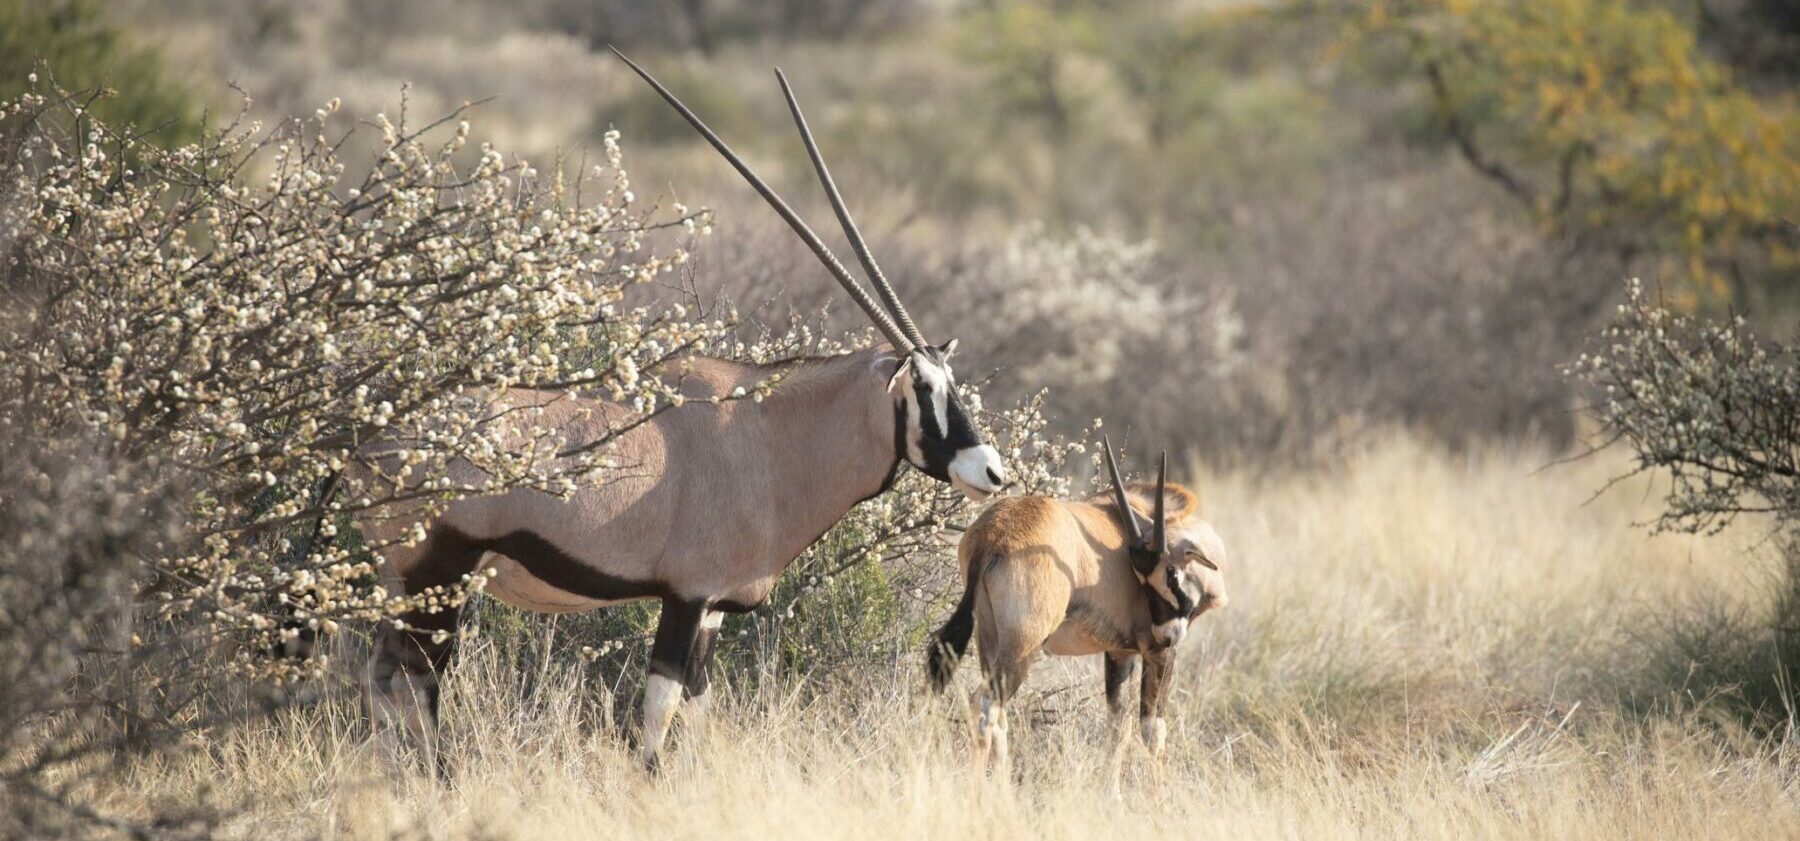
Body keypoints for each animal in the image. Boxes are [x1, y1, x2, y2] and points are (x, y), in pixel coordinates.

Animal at [354, 52, 1015, 774]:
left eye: (951, 379)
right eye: (921, 386)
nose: (993, 471)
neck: (769, 438)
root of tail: (378, 439)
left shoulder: (717, 609)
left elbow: (696, 711)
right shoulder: (687, 595)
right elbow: (659, 710)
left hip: (403, 580)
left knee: (385, 678)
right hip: (438, 574)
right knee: (417, 681)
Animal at [928, 441, 1224, 777]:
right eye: (1168, 574)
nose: (1167, 635)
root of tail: (992, 536)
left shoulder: (1120, 653)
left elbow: (1117, 727)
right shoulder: (1156, 653)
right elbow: (1152, 731)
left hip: (988, 640)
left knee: (996, 716)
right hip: (1021, 649)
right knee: (985, 703)